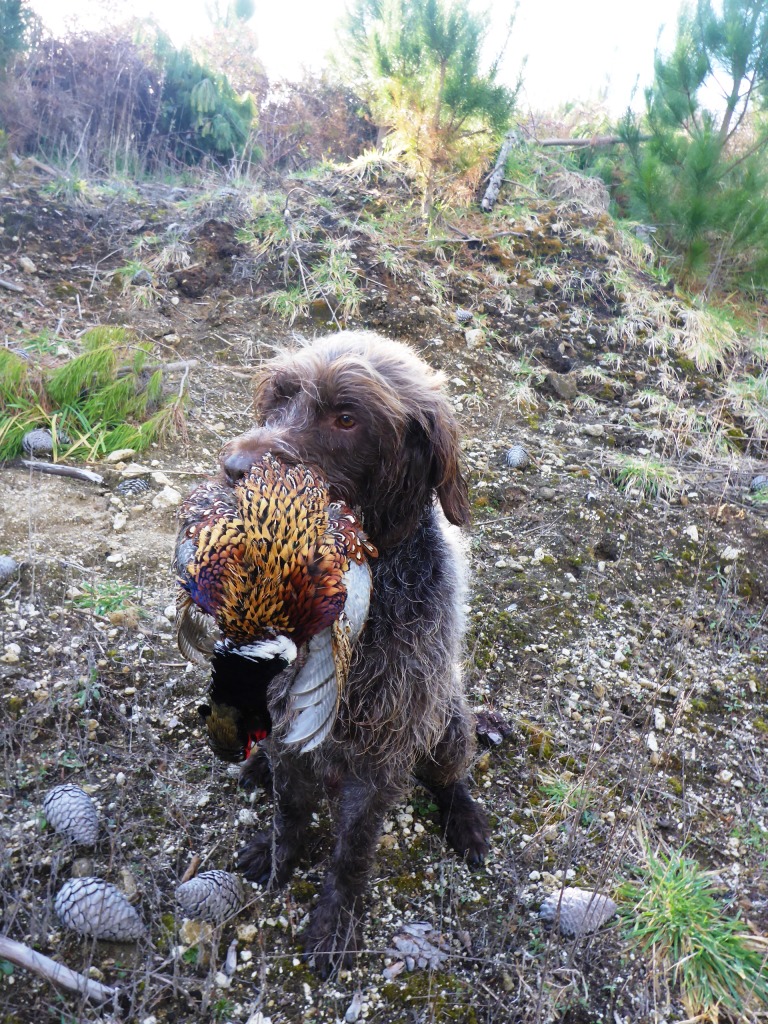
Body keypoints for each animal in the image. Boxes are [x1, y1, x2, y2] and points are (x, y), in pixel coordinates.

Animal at [219, 331, 489, 970]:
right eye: (279, 397)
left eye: (347, 418)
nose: (234, 470)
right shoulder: (290, 723)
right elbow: (291, 809)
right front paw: (277, 854)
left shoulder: (384, 749)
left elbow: (353, 848)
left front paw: (336, 919)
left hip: (448, 722)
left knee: (449, 777)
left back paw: (465, 820)